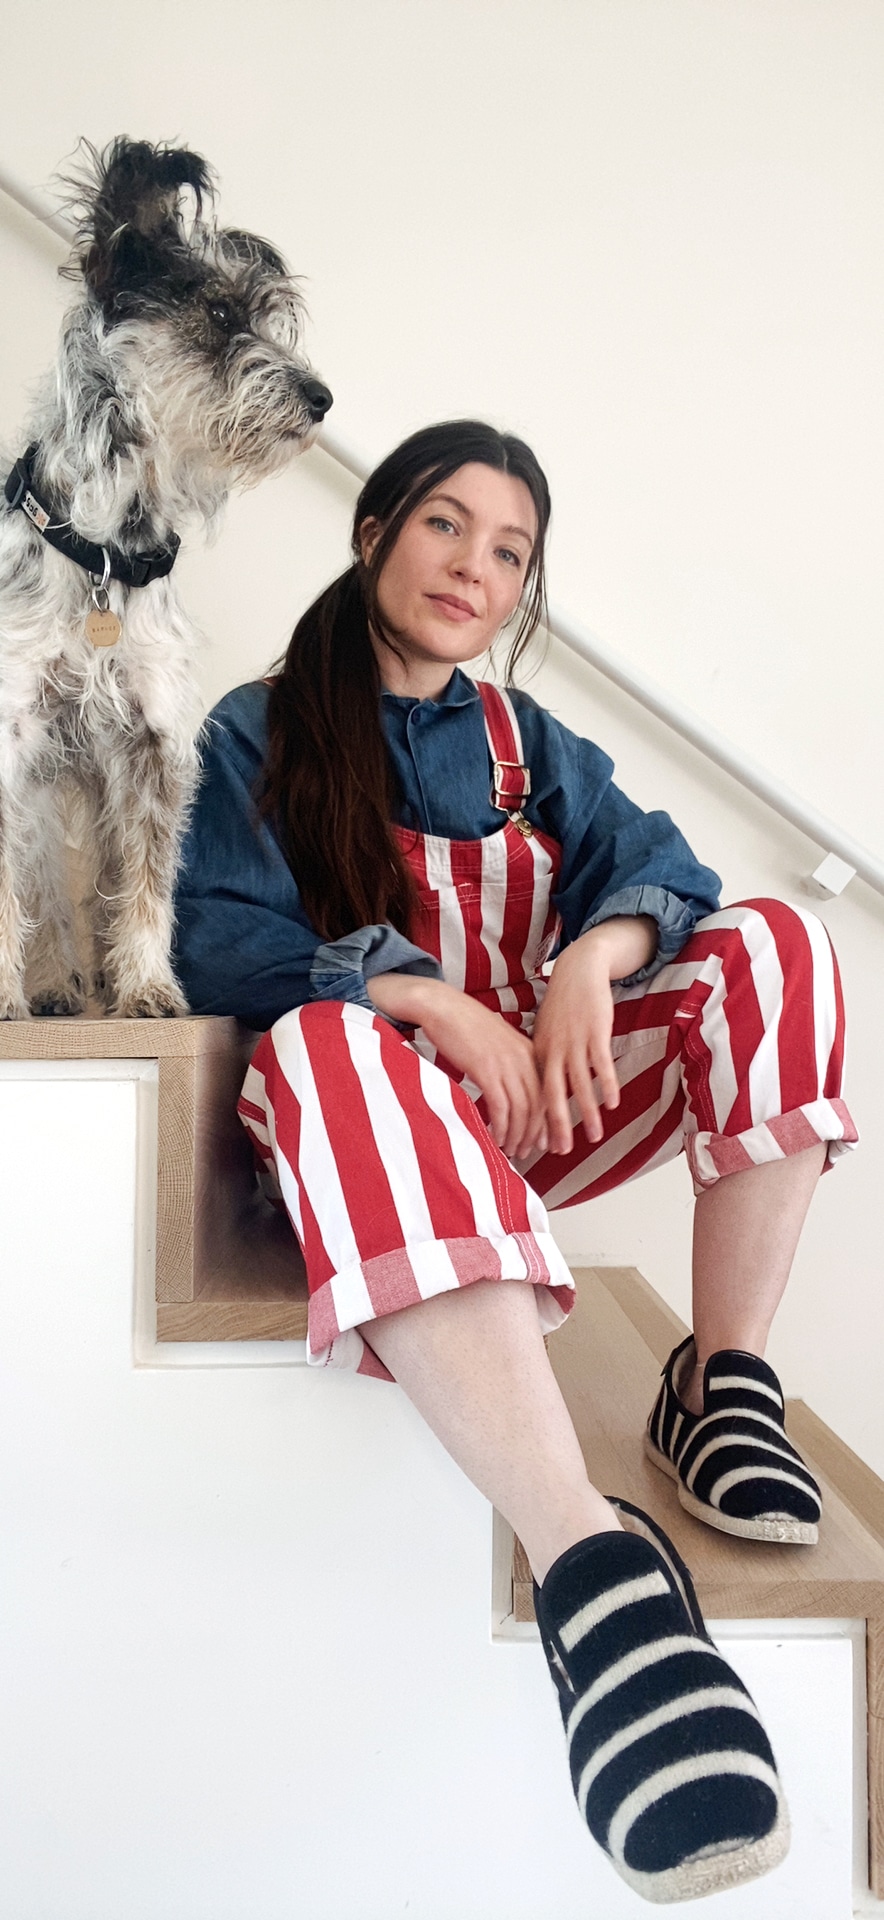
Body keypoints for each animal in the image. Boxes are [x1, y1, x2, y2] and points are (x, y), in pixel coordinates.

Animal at [0, 139, 330, 1021]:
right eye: (218, 315)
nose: (322, 398)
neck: (104, 555)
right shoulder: (10, 735)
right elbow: (12, 884)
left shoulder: (151, 742)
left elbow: (145, 885)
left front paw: (147, 986)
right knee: (43, 880)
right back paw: (50, 984)